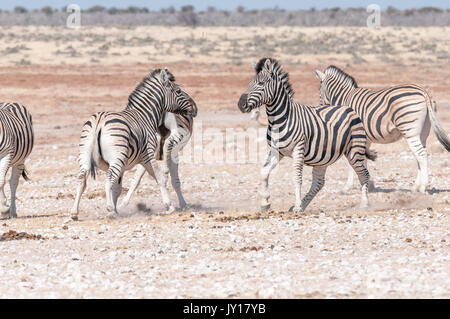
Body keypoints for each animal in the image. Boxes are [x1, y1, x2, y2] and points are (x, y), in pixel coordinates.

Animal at [70, 69, 197, 221]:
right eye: (178, 91)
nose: (195, 108)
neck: (146, 115)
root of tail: (99, 121)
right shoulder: (148, 155)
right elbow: (160, 177)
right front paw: (169, 206)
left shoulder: (128, 163)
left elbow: (118, 188)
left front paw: (118, 208)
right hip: (116, 158)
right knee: (108, 179)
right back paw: (110, 210)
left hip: (85, 155)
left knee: (81, 179)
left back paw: (74, 213)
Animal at [239, 58, 376, 212]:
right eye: (250, 82)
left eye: (261, 83)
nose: (240, 104)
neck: (280, 119)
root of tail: (350, 109)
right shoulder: (277, 150)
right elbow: (264, 172)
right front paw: (265, 202)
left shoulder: (298, 148)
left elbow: (297, 177)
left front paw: (297, 205)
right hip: (324, 156)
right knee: (319, 182)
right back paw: (303, 204)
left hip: (354, 150)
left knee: (364, 174)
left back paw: (365, 203)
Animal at [312, 66, 450, 194]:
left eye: (319, 89)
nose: (320, 107)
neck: (345, 97)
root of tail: (423, 92)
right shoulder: (365, 139)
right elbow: (363, 161)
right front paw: (367, 184)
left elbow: (353, 162)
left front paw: (348, 187)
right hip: (423, 132)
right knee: (420, 155)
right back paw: (416, 187)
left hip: (409, 129)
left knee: (421, 154)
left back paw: (422, 187)